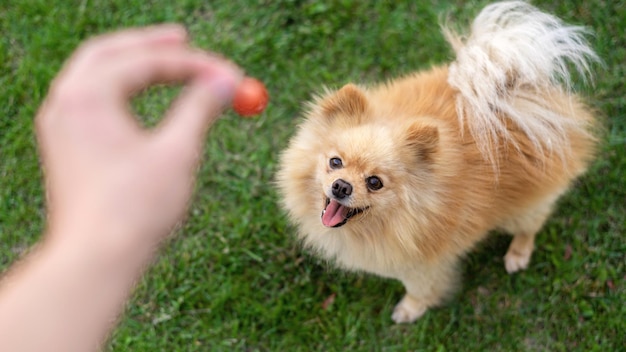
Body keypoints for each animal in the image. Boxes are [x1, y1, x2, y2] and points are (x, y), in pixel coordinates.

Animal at [276, 1, 596, 324]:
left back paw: (518, 254)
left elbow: (419, 289)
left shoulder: (422, 264)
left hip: (523, 206)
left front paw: (410, 310)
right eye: (335, 162)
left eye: (374, 182)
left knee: (531, 225)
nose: (341, 186)